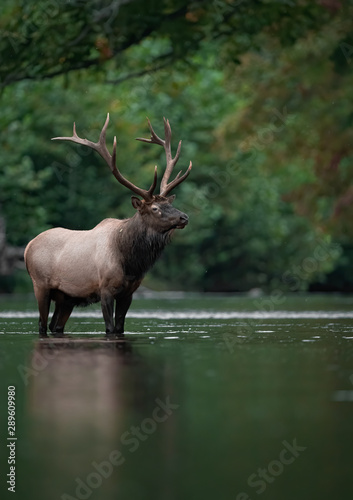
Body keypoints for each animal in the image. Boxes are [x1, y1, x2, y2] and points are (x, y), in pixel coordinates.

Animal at [24, 115, 191, 338]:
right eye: (155, 208)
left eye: (170, 204)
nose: (184, 217)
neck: (130, 261)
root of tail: (27, 247)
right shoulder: (105, 288)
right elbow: (110, 329)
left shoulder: (129, 292)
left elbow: (120, 328)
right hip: (40, 284)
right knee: (42, 325)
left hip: (65, 297)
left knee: (55, 326)